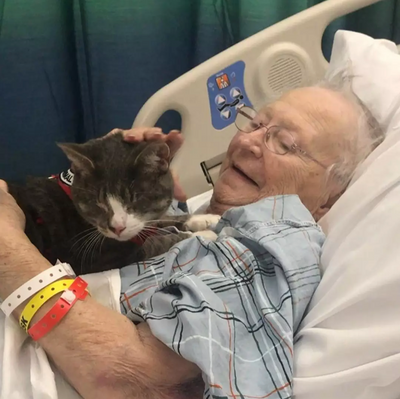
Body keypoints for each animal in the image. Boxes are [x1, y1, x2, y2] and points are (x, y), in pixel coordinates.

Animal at [7, 133, 220, 276]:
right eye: (98, 203)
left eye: (134, 199)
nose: (117, 227)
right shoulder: (93, 256)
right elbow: (158, 243)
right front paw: (202, 235)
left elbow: (160, 219)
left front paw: (204, 219)